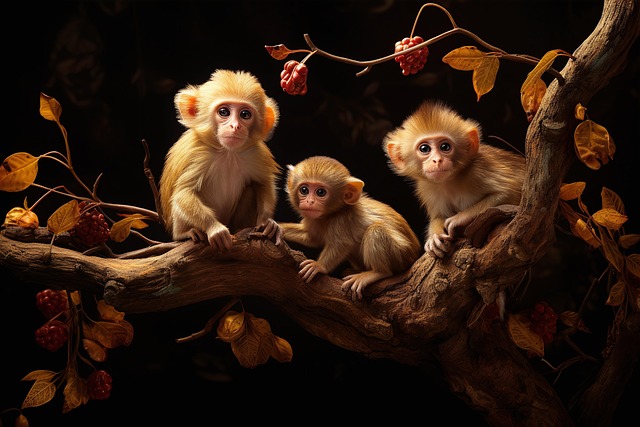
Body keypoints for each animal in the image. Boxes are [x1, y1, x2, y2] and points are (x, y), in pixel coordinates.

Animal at [158, 69, 282, 252]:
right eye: (224, 112)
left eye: (245, 114)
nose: (235, 126)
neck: (228, 153)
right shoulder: (198, 155)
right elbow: (183, 193)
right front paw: (215, 228)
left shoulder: (255, 153)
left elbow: (263, 183)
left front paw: (267, 221)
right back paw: (185, 233)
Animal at [279, 156, 422, 301]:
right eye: (304, 190)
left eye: (320, 192)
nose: (309, 202)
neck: (330, 214)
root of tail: (414, 255)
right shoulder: (312, 219)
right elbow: (312, 238)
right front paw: (275, 227)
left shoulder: (342, 219)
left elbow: (341, 244)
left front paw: (319, 266)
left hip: (401, 253)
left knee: (375, 230)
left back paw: (377, 272)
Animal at [383, 100, 526, 259]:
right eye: (424, 149)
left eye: (445, 146)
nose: (437, 160)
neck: (449, 181)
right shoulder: (426, 187)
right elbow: (438, 215)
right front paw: (434, 237)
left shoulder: (478, 170)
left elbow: (511, 191)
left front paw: (460, 218)